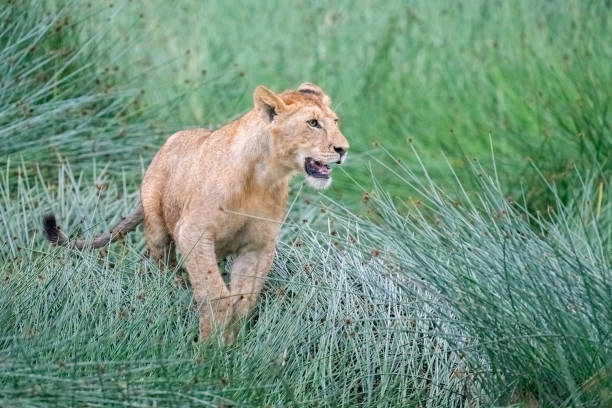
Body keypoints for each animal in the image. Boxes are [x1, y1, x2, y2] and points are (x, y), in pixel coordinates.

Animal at [43, 83, 350, 342]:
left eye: (335, 122)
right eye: (313, 123)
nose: (343, 149)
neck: (264, 175)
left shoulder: (259, 245)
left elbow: (243, 300)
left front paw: (231, 347)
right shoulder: (193, 232)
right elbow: (215, 293)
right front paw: (208, 347)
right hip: (158, 229)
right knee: (164, 267)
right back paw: (171, 293)